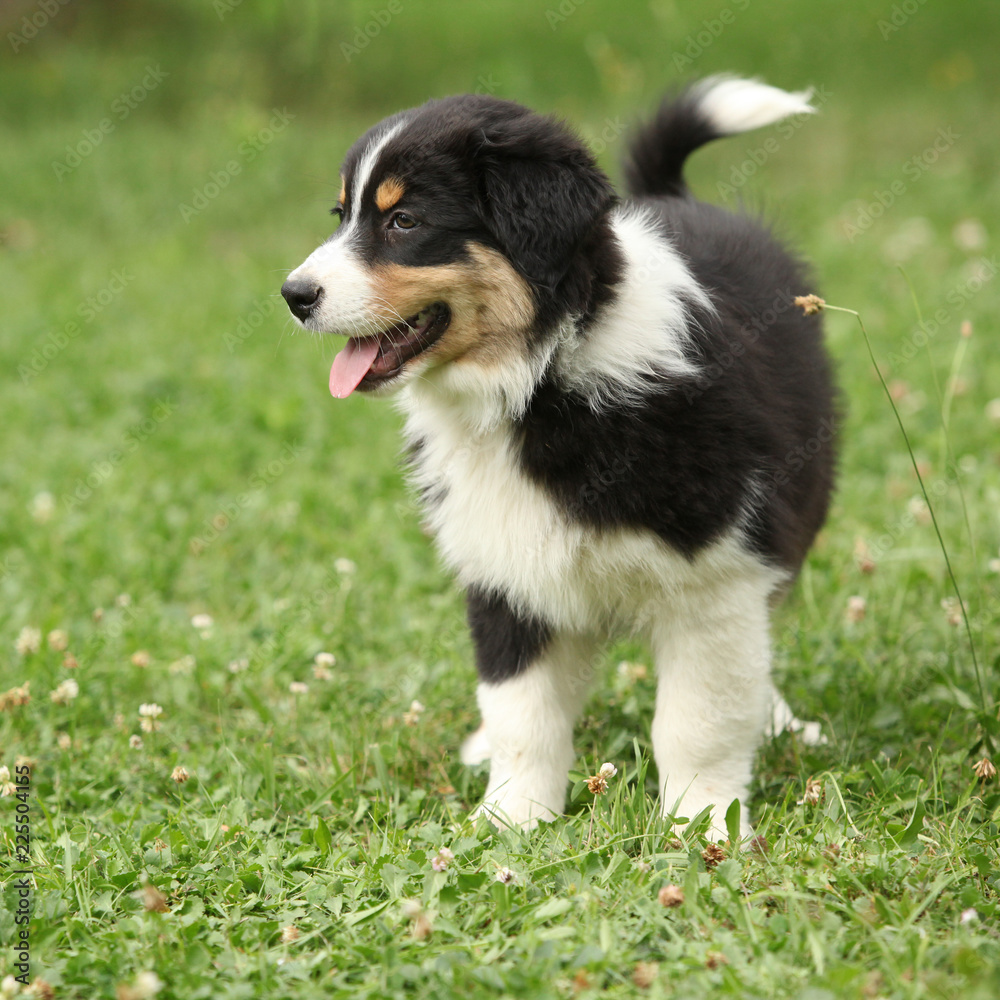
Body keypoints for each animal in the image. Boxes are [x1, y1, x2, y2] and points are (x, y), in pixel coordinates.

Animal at [282, 76, 836, 836]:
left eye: (404, 222)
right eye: (342, 215)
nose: (293, 295)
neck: (539, 378)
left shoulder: (716, 574)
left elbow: (699, 719)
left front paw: (705, 826)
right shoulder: (506, 565)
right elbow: (523, 712)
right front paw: (509, 823)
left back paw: (779, 723)